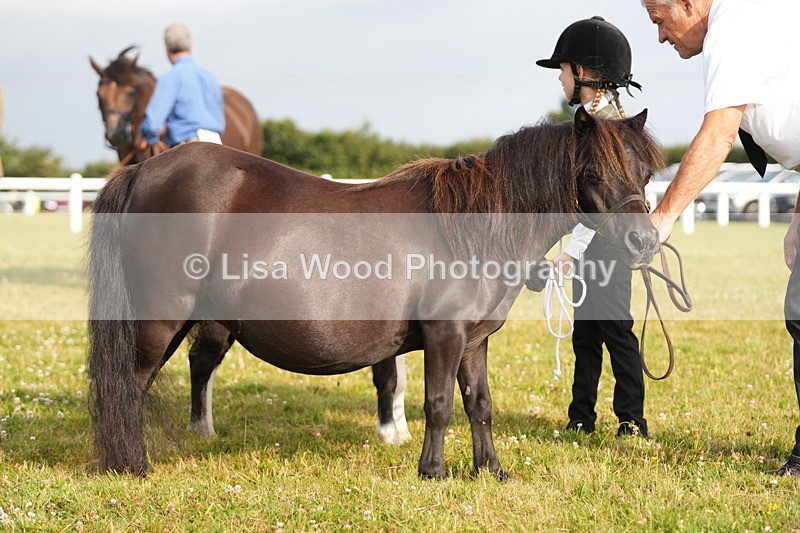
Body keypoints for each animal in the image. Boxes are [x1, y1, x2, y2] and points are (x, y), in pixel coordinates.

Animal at [87, 107, 665, 478]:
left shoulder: (475, 341)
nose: (645, 241)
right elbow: (439, 403)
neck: (472, 228)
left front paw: (491, 471)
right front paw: (433, 471)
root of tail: (143, 169)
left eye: (643, 171)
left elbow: (479, 403)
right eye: (593, 171)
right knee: (130, 385)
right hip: (160, 320)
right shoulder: (445, 334)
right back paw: (131, 466)